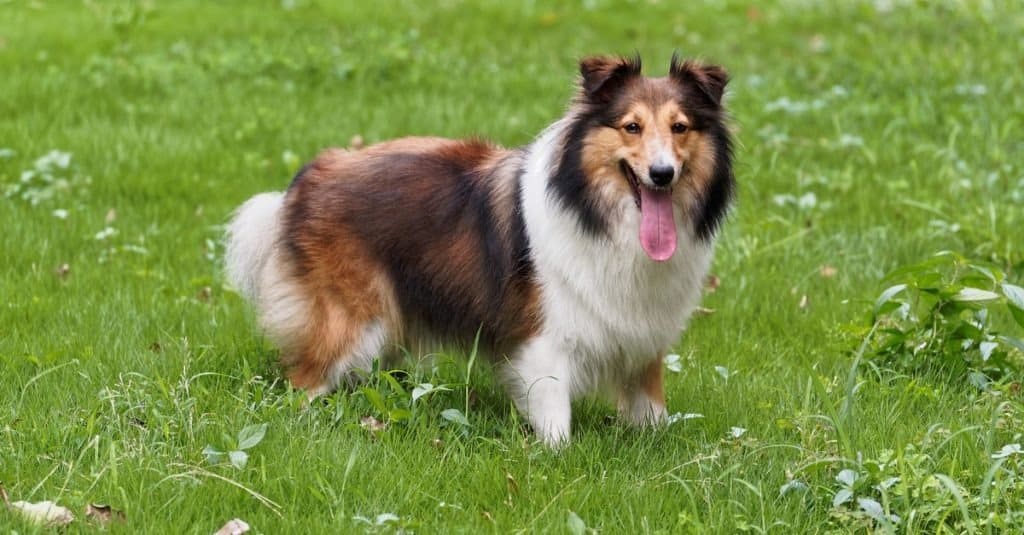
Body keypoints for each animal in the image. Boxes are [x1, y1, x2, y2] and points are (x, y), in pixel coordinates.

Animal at [227, 54, 733, 444]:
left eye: (680, 127)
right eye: (631, 127)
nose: (662, 174)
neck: (596, 210)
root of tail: (310, 176)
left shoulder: (643, 338)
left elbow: (650, 410)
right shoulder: (546, 339)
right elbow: (555, 416)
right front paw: (557, 458)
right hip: (350, 321)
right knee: (302, 381)